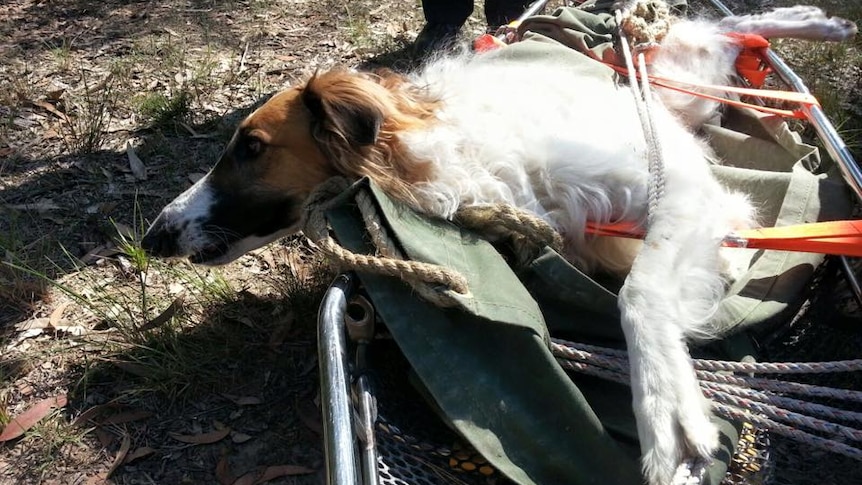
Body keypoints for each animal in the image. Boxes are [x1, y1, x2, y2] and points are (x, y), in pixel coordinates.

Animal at [143, 2, 856, 480]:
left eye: (250, 147)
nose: (153, 237)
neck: (451, 154)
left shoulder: (682, 189)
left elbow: (639, 295)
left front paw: (668, 414)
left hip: (696, 83)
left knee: (726, 27)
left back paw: (815, 25)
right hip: (694, 92)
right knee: (727, 33)